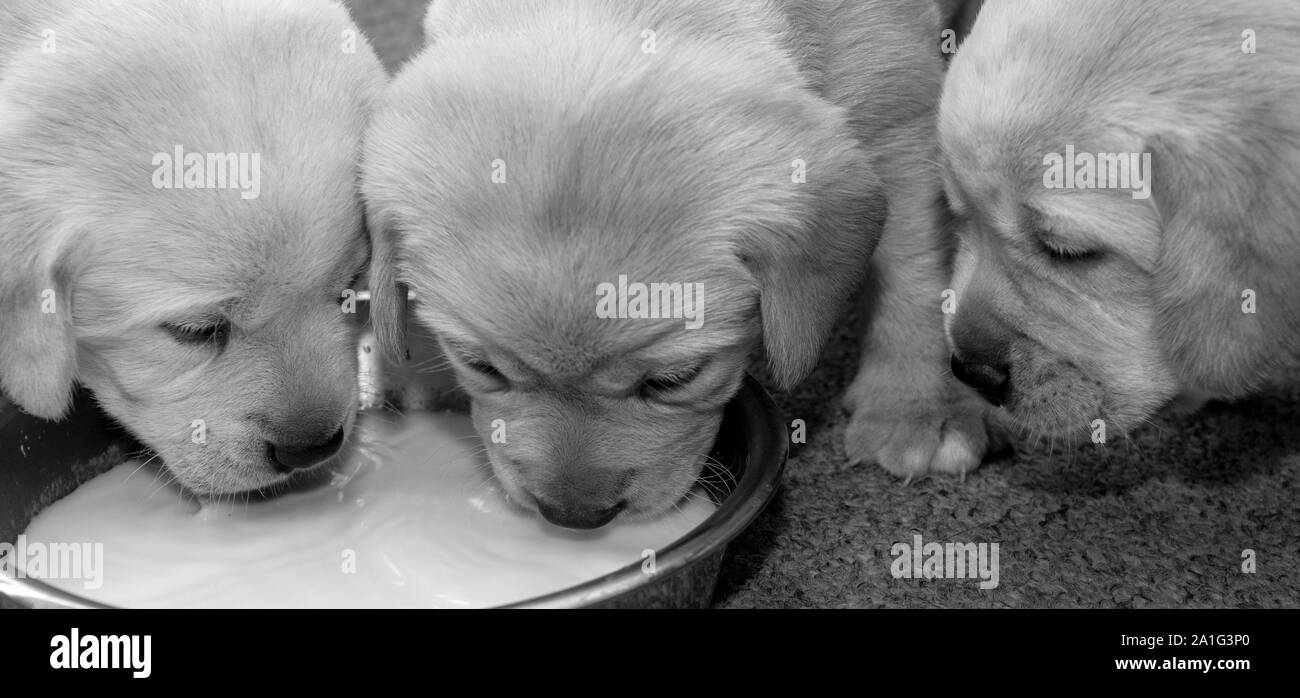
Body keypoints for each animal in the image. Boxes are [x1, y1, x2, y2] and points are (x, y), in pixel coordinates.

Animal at [361, 0, 987, 525]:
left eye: (674, 380)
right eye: (481, 368)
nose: (576, 517)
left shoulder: (903, 114)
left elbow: (913, 271)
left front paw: (914, 406)